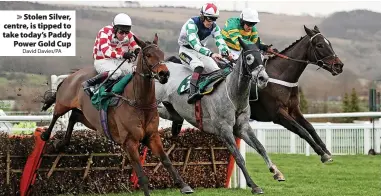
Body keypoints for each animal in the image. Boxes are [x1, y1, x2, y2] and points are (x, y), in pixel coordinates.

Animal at [39, 34, 193, 195]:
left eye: (162, 54)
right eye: (148, 55)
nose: (165, 74)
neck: (139, 102)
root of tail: (72, 75)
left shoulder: (152, 136)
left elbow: (166, 160)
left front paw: (183, 185)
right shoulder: (129, 142)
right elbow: (141, 174)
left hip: (90, 119)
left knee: (74, 116)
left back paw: (61, 143)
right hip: (64, 102)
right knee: (56, 114)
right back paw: (46, 135)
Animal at [156, 37, 284, 194]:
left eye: (263, 58)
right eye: (249, 58)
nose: (263, 78)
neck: (234, 95)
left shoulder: (242, 127)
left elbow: (260, 147)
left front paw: (276, 172)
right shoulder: (224, 130)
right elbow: (239, 158)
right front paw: (253, 185)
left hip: (173, 112)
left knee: (173, 120)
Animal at [248, 24, 342, 162]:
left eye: (329, 43)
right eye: (319, 45)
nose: (339, 66)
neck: (279, 76)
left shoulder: (294, 109)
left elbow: (310, 127)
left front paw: (326, 151)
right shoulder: (278, 114)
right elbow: (301, 130)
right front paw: (322, 153)